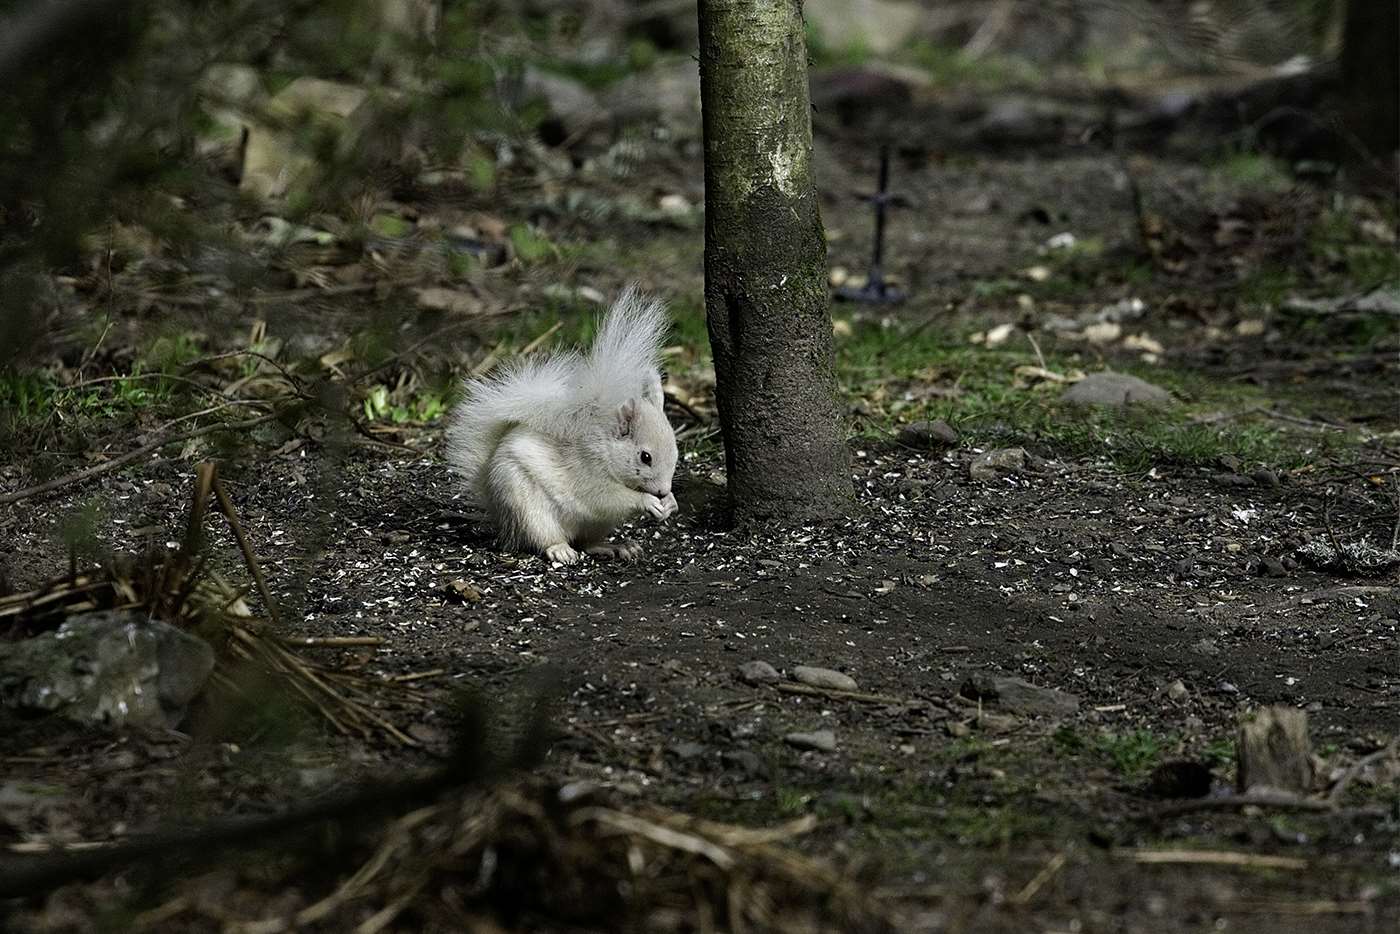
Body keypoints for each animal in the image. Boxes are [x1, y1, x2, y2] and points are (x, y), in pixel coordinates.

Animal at [445, 285, 680, 562]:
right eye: (645, 457)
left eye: (676, 451)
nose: (663, 491)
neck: (604, 444)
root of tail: (497, 511)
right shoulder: (587, 469)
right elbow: (607, 498)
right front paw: (647, 501)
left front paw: (671, 502)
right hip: (529, 511)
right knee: (544, 539)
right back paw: (560, 550)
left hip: (596, 525)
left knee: (588, 543)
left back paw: (617, 546)